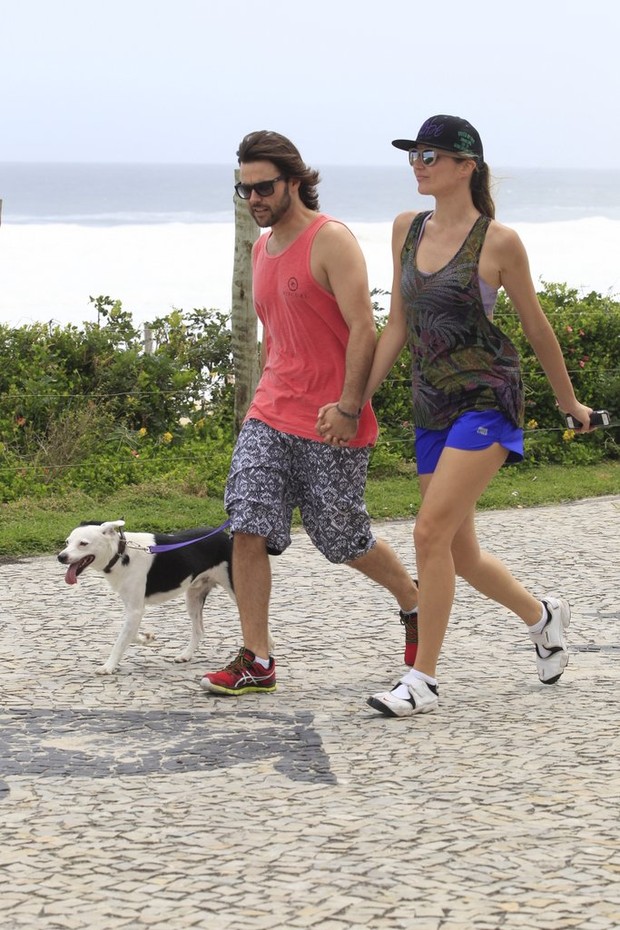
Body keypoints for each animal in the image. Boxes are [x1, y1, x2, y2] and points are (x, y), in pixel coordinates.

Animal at [57, 520, 236, 672]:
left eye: (83, 543)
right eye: (67, 542)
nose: (61, 557)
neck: (121, 554)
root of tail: (226, 536)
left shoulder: (135, 610)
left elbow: (120, 641)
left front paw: (108, 666)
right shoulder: (133, 608)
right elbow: (129, 635)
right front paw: (147, 638)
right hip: (193, 597)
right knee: (199, 631)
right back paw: (185, 655)